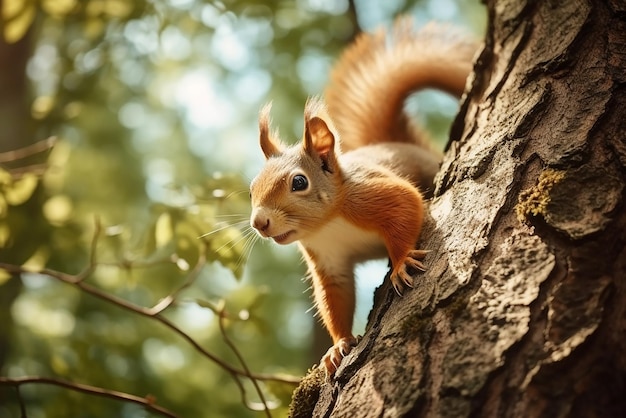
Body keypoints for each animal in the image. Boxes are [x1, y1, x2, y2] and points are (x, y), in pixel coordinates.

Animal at [246, 19, 476, 378]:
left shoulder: (370, 195)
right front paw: (338, 345)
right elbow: (336, 297)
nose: (259, 222)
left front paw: (402, 262)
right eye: (251, 188)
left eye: (299, 182)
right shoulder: (328, 259)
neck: (329, 225)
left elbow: (406, 203)